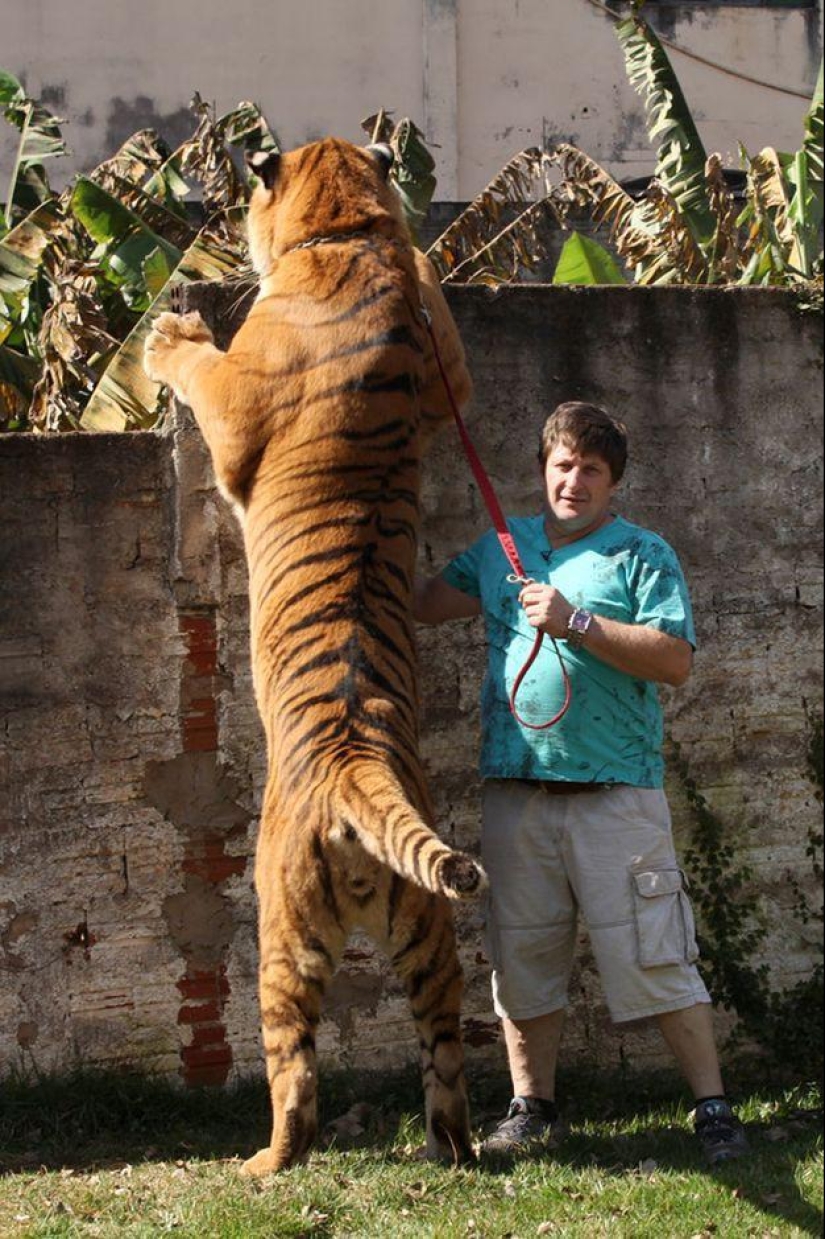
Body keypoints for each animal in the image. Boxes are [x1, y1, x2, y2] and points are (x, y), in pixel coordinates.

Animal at [143, 136, 486, 1176]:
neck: (349, 231)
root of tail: (353, 770)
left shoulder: (233, 401)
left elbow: (198, 367)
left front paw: (168, 331)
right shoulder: (447, 373)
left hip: (281, 938)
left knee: (292, 1071)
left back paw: (263, 1165)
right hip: (432, 938)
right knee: (444, 1058)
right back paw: (455, 1153)